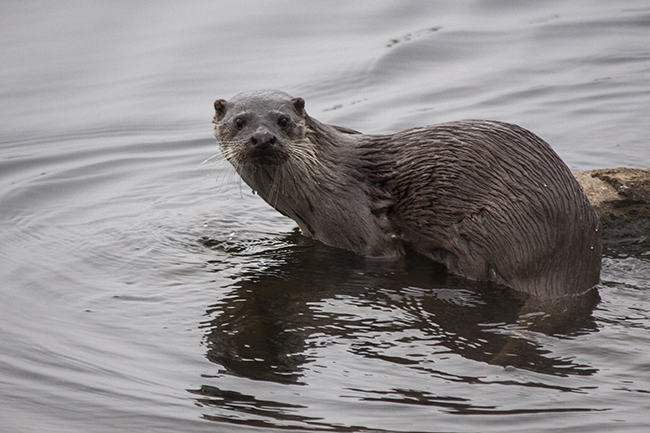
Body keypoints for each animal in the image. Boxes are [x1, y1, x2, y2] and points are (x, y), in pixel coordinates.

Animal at [211, 88, 596, 296]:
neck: (317, 183)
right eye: (239, 121)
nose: (263, 138)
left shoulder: (361, 229)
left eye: (284, 121)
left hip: (493, 224)